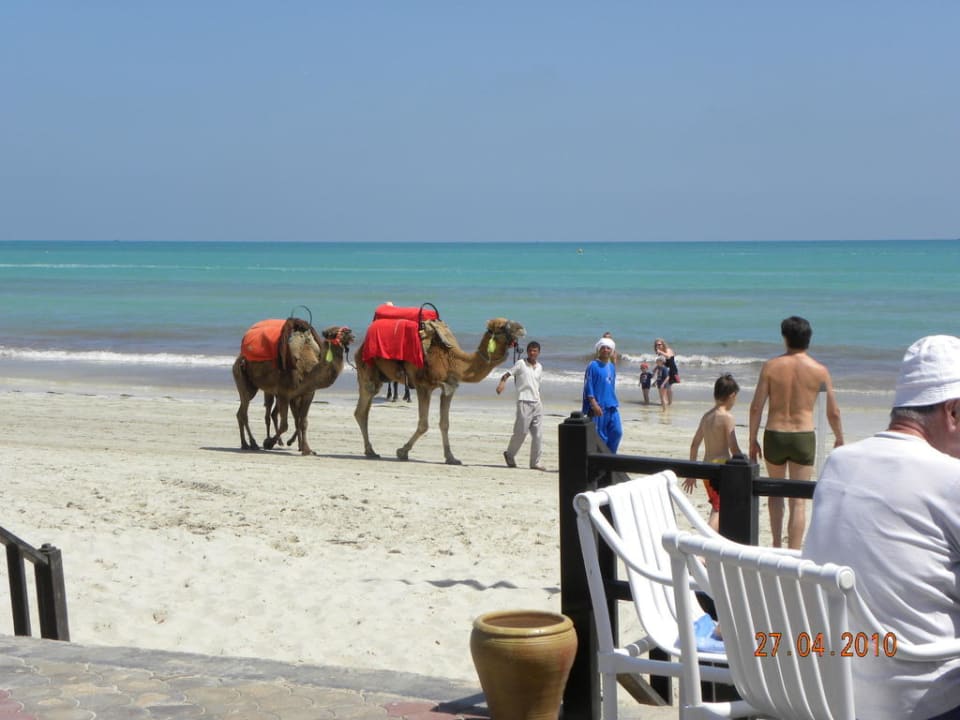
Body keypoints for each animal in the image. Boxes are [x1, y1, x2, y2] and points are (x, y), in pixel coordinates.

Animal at [233, 324, 354, 455]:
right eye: (336, 333)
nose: (352, 335)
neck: (307, 370)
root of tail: (239, 357)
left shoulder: (307, 393)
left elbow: (303, 422)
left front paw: (307, 449)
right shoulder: (284, 394)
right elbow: (285, 425)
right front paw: (268, 443)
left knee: (242, 412)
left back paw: (246, 443)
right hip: (242, 378)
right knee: (245, 412)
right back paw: (252, 443)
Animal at [354, 317, 525, 465]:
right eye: (501, 326)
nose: (522, 328)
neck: (453, 360)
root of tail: (360, 346)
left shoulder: (449, 388)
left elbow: (445, 424)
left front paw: (451, 458)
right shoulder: (423, 386)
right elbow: (424, 424)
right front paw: (402, 451)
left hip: (378, 376)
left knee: (364, 411)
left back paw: (370, 451)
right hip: (367, 369)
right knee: (361, 410)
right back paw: (371, 451)